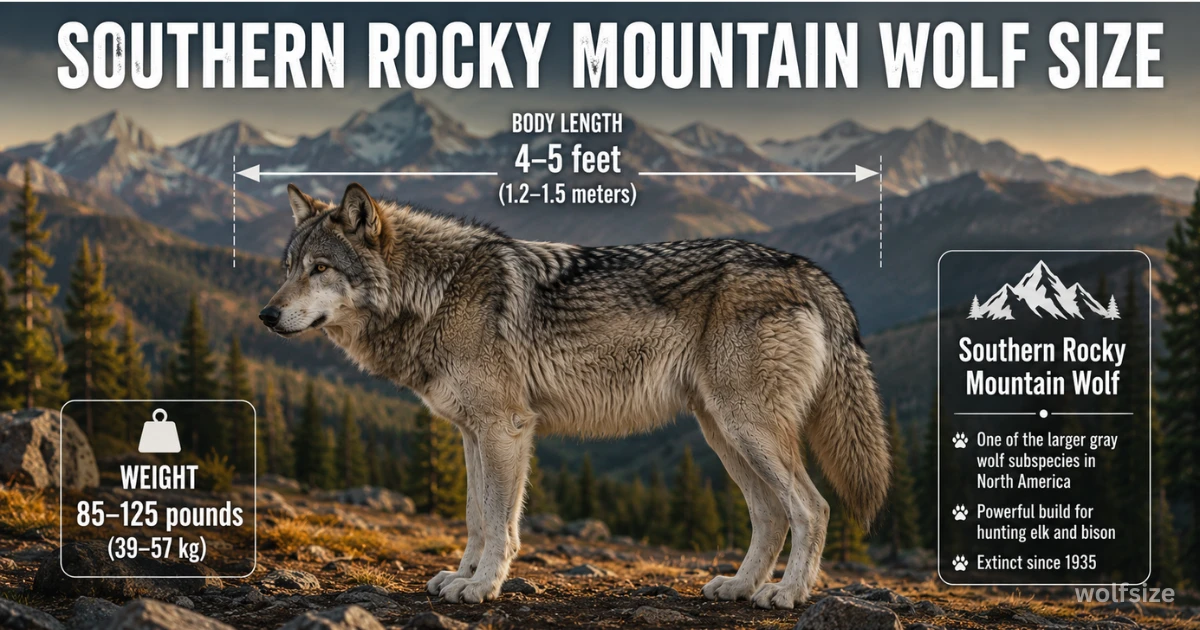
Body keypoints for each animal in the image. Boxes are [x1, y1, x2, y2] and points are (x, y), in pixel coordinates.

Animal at [260, 182, 891, 609]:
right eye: (288, 266)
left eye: (321, 268)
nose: (266, 315)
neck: (433, 293)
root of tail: (804, 267)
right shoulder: (470, 433)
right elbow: (474, 518)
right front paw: (460, 577)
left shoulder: (506, 428)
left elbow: (500, 524)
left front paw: (482, 586)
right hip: (724, 435)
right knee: (770, 514)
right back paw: (737, 585)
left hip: (747, 430)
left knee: (812, 507)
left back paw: (787, 595)